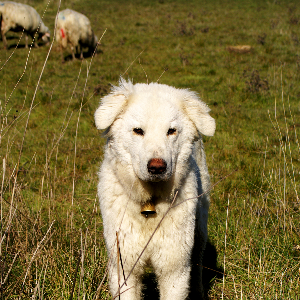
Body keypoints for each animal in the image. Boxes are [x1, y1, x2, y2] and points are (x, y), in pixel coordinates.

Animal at [95, 78, 214, 298]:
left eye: (171, 131)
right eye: (138, 130)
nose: (157, 167)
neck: (150, 201)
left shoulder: (174, 269)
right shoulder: (123, 266)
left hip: (199, 229)